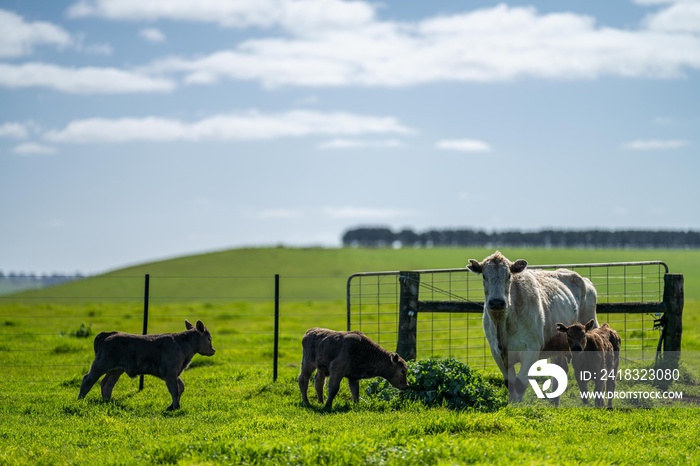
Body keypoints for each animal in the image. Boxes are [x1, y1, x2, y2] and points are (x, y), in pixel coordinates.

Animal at [78, 318, 215, 410]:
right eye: (209, 338)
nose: (213, 351)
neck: (181, 344)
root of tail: (109, 334)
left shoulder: (174, 373)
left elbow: (180, 386)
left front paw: (172, 406)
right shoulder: (170, 372)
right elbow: (174, 389)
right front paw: (175, 407)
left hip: (116, 370)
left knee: (107, 384)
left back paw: (108, 402)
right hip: (101, 365)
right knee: (88, 379)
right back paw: (80, 400)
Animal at [468, 251, 600, 400]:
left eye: (509, 276)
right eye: (484, 276)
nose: (496, 302)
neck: (503, 325)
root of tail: (584, 279)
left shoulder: (531, 349)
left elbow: (520, 383)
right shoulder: (497, 353)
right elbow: (510, 383)